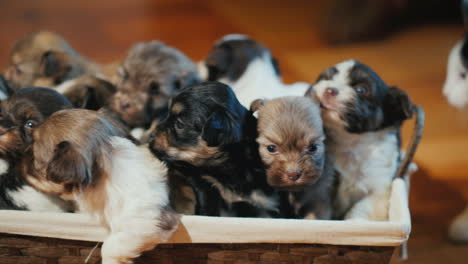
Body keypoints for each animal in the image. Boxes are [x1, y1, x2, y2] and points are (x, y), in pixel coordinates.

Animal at [308, 59, 420, 221]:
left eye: (361, 90)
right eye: (325, 79)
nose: (329, 89)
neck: (351, 143)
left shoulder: (379, 190)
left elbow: (361, 209)